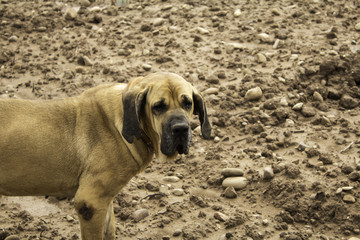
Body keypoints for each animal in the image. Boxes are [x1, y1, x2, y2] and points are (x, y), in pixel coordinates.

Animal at [0, 71, 211, 240]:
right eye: (158, 106)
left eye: (188, 103)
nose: (181, 128)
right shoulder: (90, 203)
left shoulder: (105, 199)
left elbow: (110, 230)